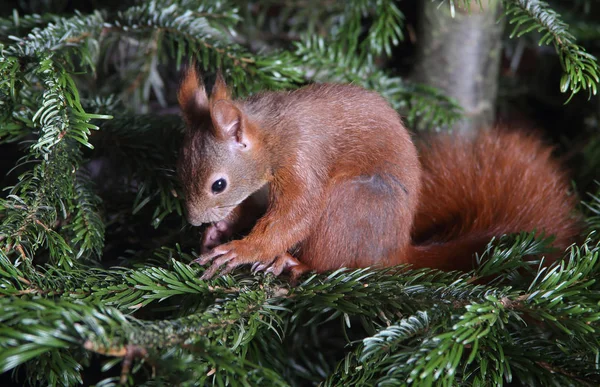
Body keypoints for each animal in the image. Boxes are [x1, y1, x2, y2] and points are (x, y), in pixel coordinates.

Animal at [177, 68, 580, 280]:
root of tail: (396, 249)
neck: (271, 136)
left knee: (331, 261)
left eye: (218, 184)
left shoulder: (303, 159)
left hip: (352, 202)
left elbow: (294, 217)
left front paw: (240, 249)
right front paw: (219, 230)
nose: (194, 220)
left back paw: (294, 261)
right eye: (181, 170)